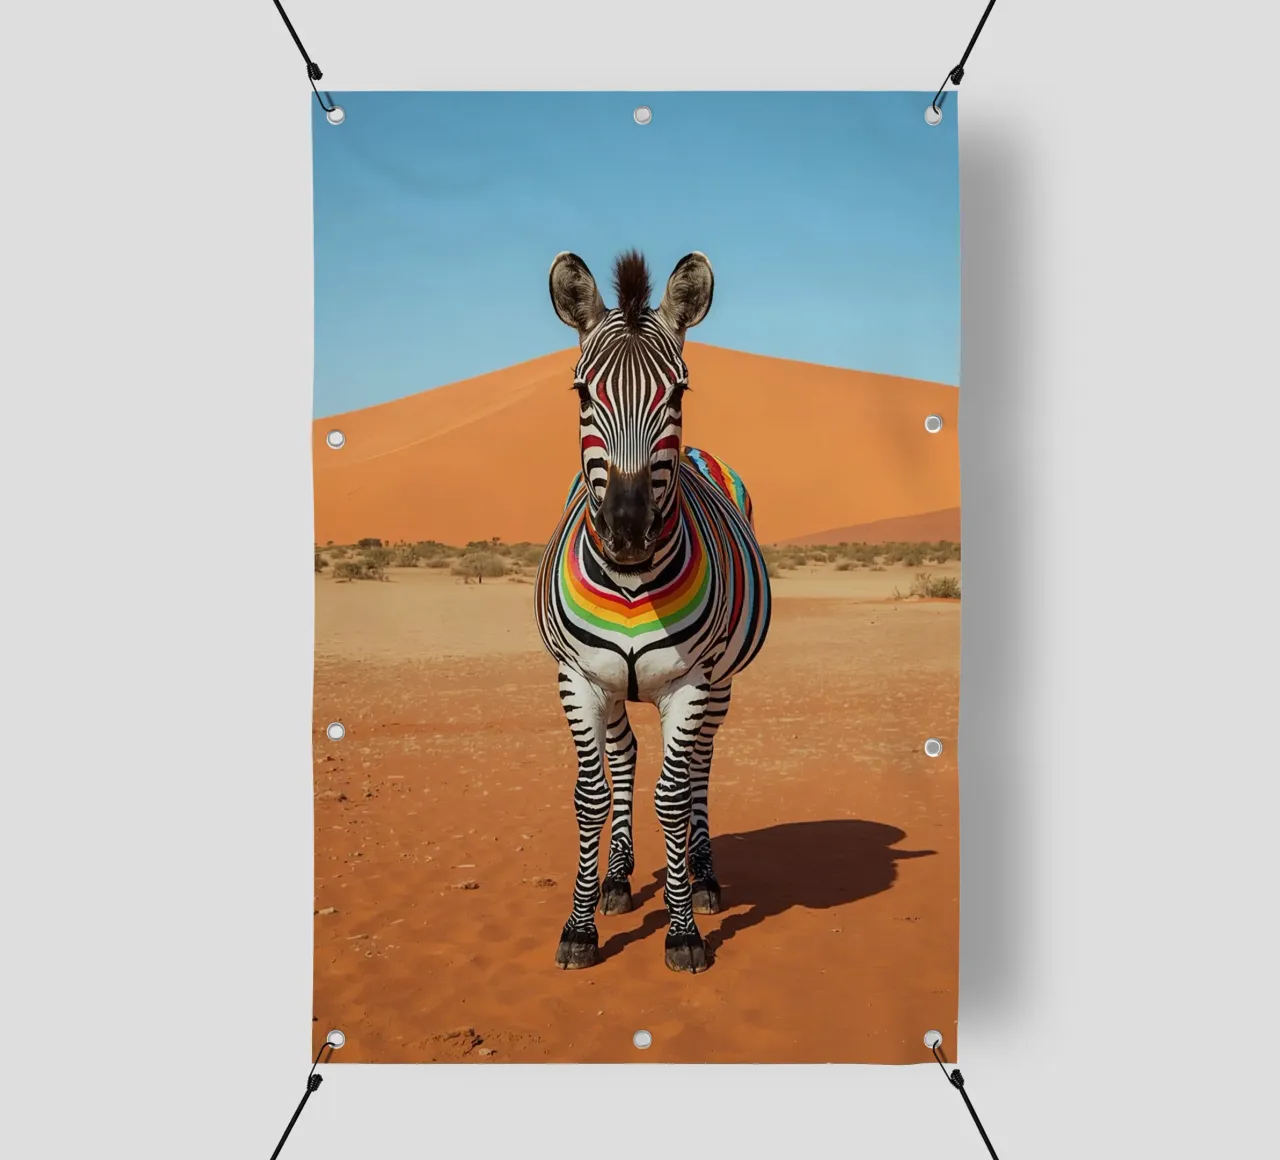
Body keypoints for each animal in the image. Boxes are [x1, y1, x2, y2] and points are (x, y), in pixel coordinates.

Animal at [534, 250, 771, 973]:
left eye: (679, 396)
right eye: (583, 394)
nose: (629, 531)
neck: (634, 583)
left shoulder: (690, 682)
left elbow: (672, 797)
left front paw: (683, 930)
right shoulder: (577, 678)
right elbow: (591, 796)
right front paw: (581, 927)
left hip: (720, 684)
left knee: (696, 770)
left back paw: (703, 878)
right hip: (614, 686)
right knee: (626, 756)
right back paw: (615, 878)